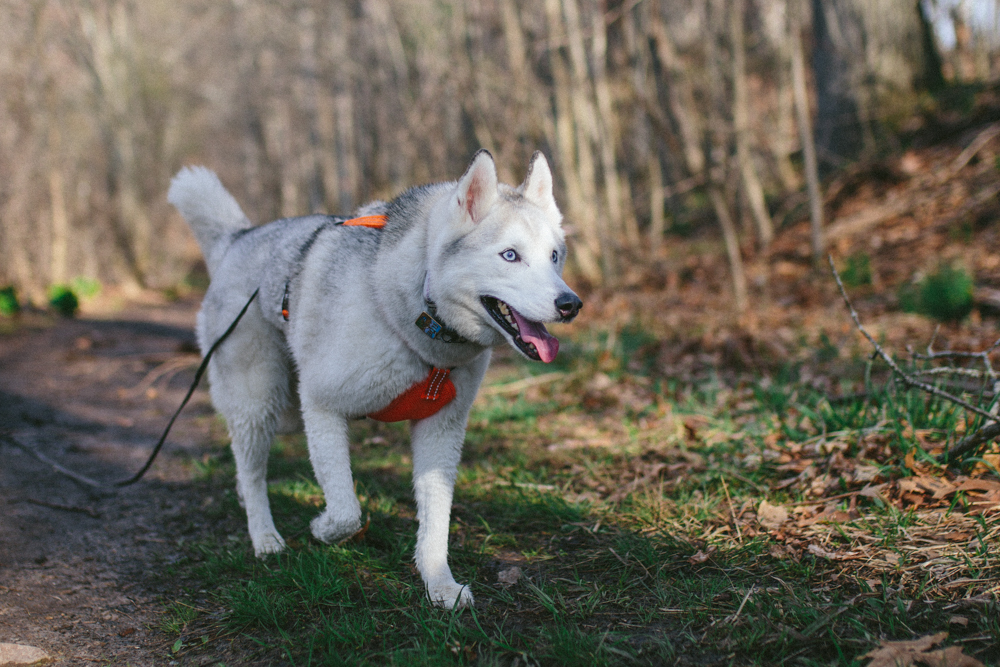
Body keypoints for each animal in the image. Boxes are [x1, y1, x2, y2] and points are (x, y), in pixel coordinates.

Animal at [169, 153, 584, 612]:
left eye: (554, 256)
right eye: (510, 255)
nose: (571, 304)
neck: (418, 322)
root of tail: (237, 238)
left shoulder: (441, 429)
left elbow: (436, 520)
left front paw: (439, 584)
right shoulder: (322, 407)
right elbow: (346, 511)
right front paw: (322, 528)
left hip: (285, 411)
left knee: (247, 470)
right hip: (260, 403)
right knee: (254, 470)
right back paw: (264, 537)